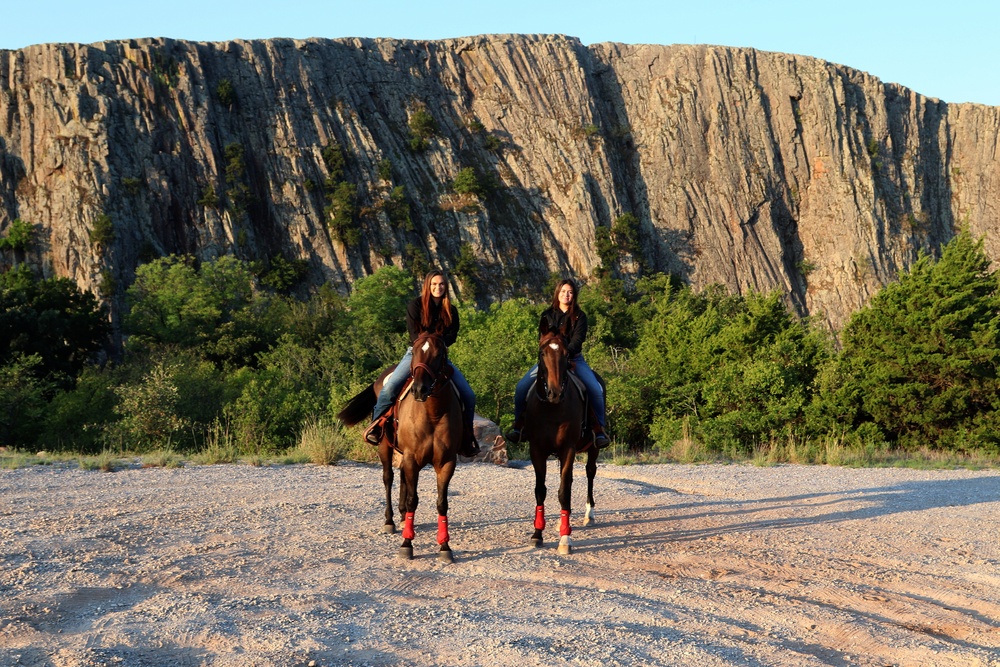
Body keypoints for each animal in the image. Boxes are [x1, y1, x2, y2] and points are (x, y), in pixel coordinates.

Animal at [334, 334, 462, 564]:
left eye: (439, 354)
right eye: (416, 351)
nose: (419, 389)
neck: (433, 414)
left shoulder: (446, 462)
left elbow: (442, 503)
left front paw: (445, 547)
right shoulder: (412, 458)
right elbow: (413, 500)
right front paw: (407, 544)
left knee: (402, 477)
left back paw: (403, 518)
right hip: (385, 447)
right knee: (389, 478)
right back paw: (390, 521)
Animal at [524, 320, 600, 556]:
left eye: (566, 354)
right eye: (542, 352)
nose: (555, 392)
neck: (552, 409)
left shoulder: (568, 449)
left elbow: (564, 491)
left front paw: (565, 539)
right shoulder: (537, 450)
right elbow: (541, 490)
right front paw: (537, 534)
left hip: (593, 448)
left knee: (590, 473)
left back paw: (588, 514)